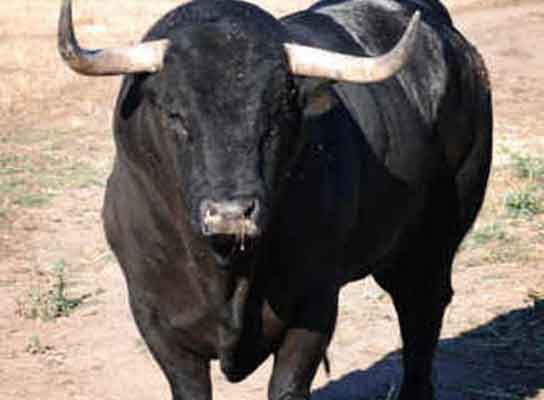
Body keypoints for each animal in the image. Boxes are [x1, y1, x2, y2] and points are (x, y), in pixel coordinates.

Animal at [59, 0, 492, 400]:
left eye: (276, 116)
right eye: (176, 115)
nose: (231, 213)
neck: (226, 272)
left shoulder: (314, 305)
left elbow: (287, 385)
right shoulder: (154, 316)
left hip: (434, 239)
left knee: (421, 312)